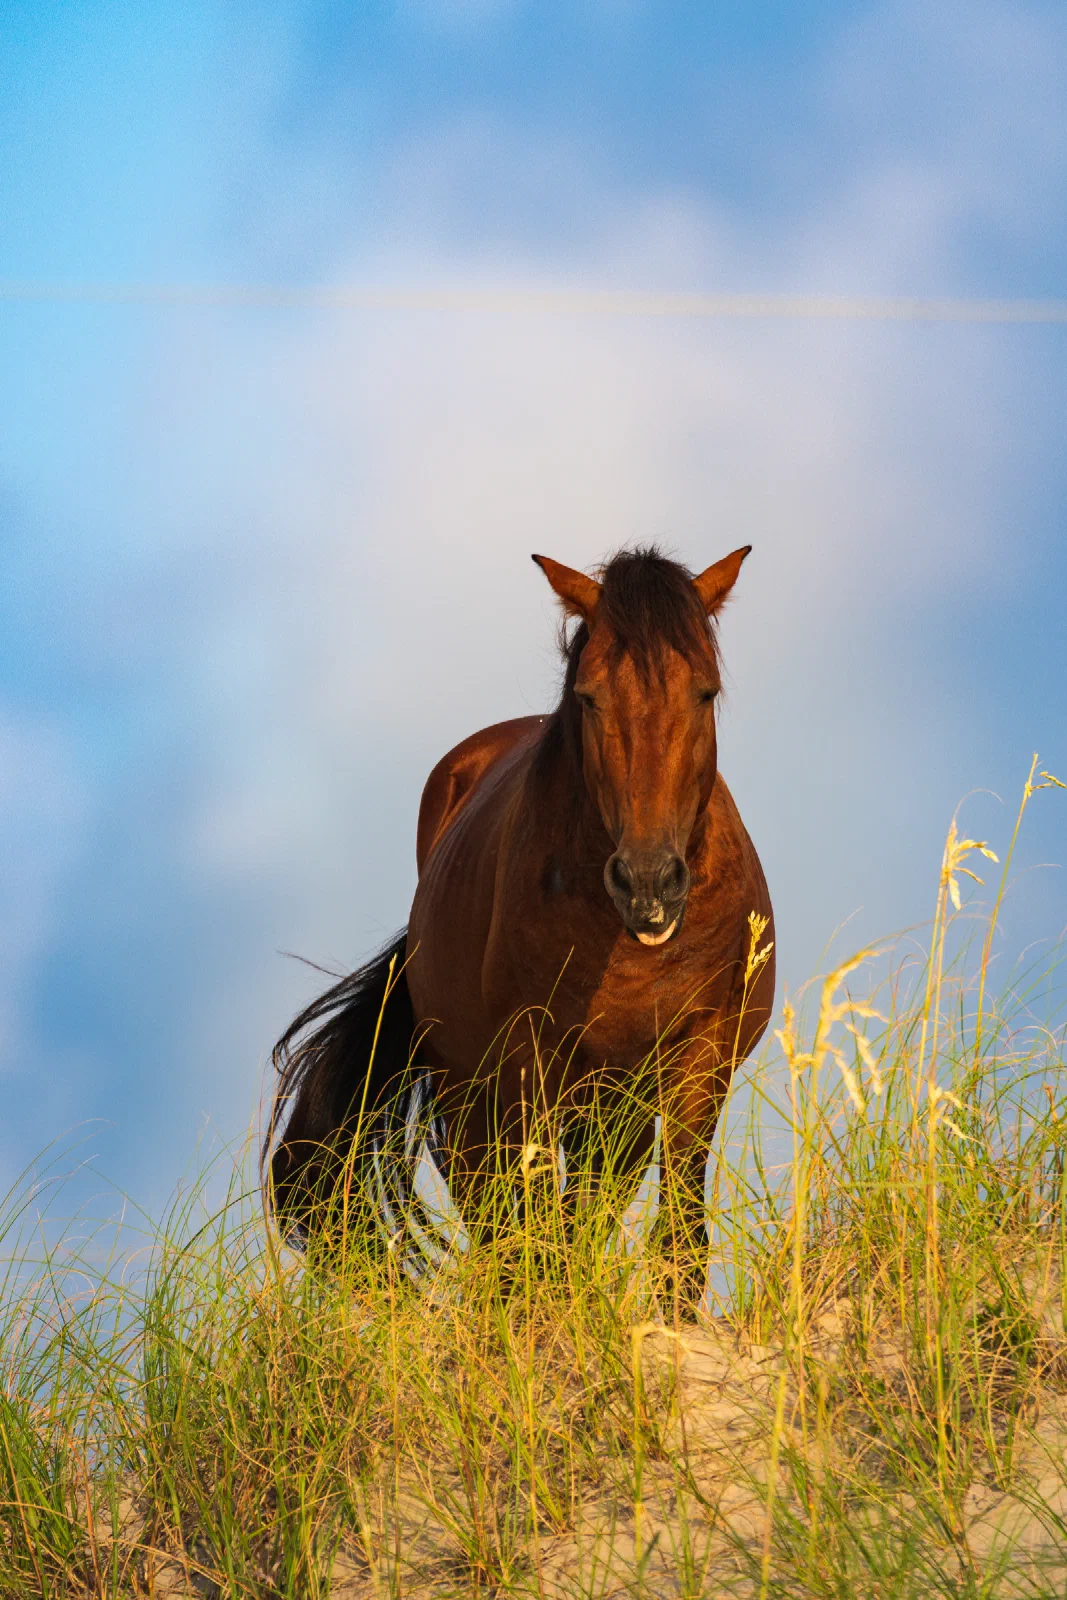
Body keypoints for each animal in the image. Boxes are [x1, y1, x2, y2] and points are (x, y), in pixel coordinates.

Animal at [266, 545, 775, 1294]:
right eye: (590, 697)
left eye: (704, 692)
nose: (648, 883)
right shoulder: (527, 1063)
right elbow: (535, 1232)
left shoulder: (698, 1062)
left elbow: (677, 1235)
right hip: (474, 1097)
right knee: (500, 1212)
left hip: (608, 1106)